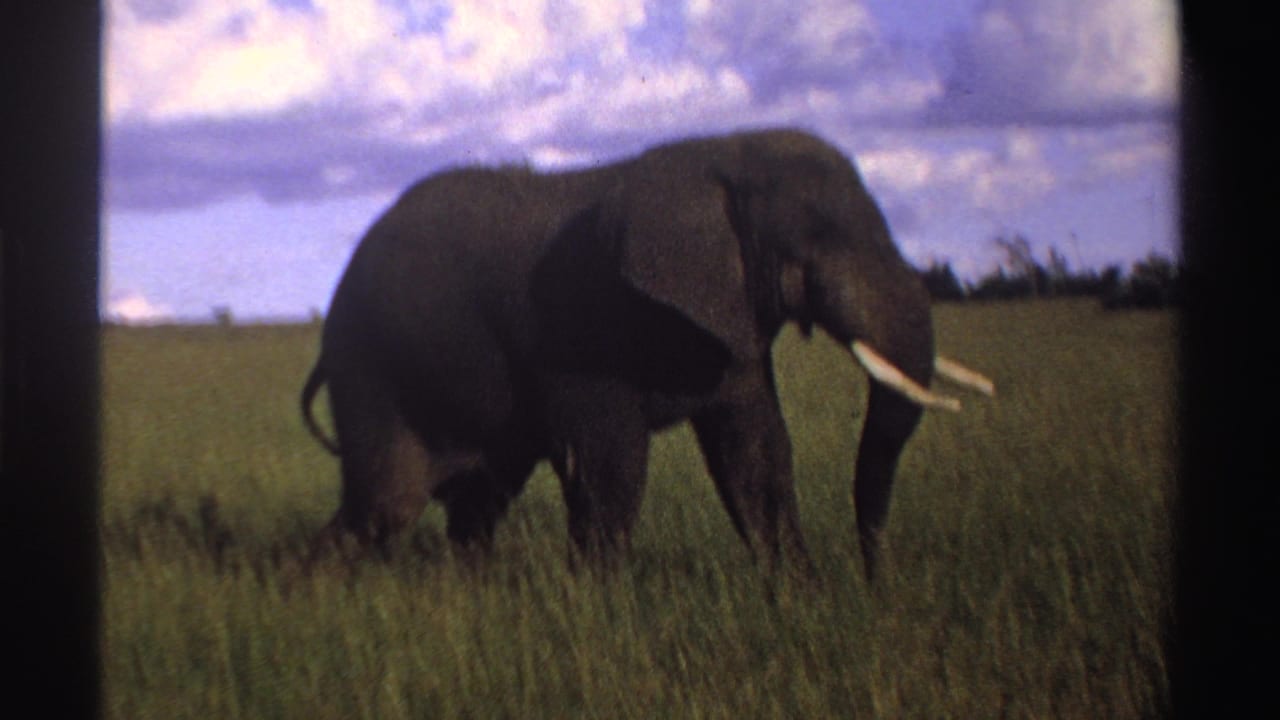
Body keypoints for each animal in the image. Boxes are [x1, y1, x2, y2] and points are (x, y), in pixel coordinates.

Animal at [301, 128, 993, 579]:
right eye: (817, 237)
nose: (876, 578)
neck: (719, 159)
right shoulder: (581, 327)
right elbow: (612, 465)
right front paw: (601, 608)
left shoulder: (731, 323)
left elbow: (758, 451)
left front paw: (799, 594)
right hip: (371, 367)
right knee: (385, 505)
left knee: (475, 501)